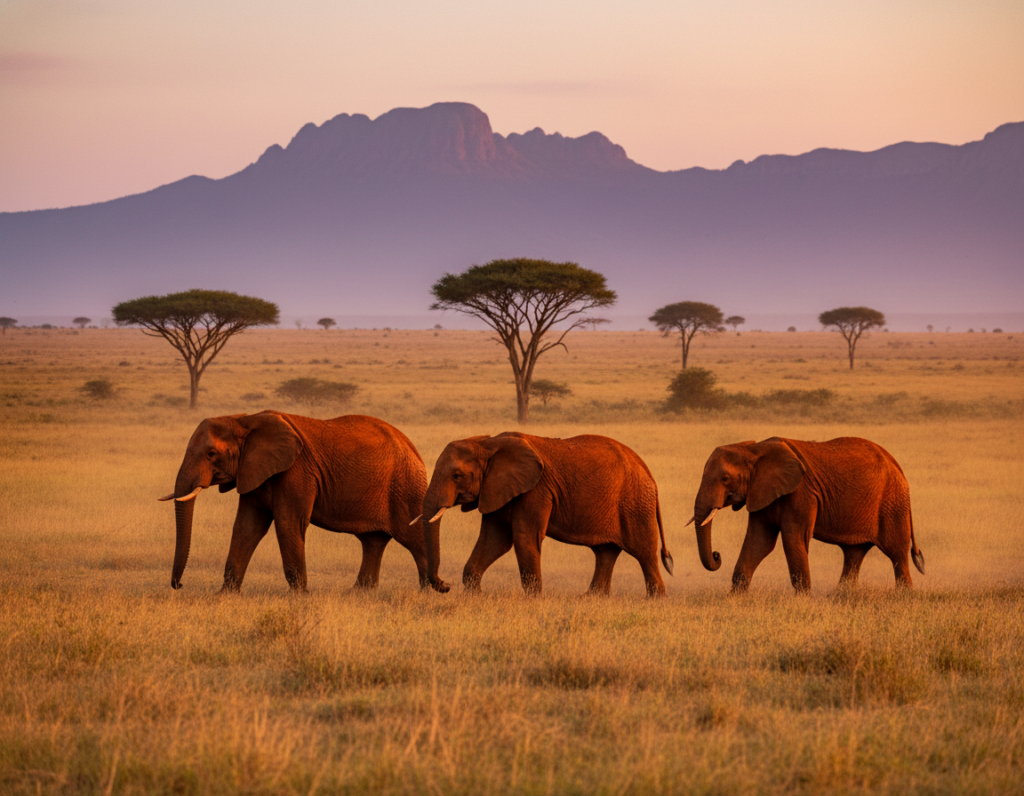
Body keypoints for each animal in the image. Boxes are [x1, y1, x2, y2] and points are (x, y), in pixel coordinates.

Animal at [159, 411, 443, 592]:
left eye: (211, 454)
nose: (179, 585)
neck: (243, 420)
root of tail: (412, 447)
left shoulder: (295, 471)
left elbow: (288, 523)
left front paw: (298, 596)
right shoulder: (254, 471)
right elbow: (247, 527)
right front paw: (225, 595)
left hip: (405, 488)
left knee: (414, 538)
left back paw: (431, 591)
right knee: (373, 541)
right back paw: (359, 594)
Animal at [418, 431, 674, 595]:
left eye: (456, 476)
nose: (444, 586)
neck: (488, 443)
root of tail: (647, 470)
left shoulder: (536, 489)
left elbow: (524, 538)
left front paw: (533, 600)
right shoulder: (496, 489)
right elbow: (495, 540)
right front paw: (476, 596)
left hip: (636, 503)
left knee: (644, 552)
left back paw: (655, 600)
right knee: (606, 552)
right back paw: (592, 598)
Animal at [690, 436, 925, 592]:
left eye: (725, 479)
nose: (717, 555)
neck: (753, 449)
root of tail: (896, 464)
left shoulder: (801, 494)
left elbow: (794, 539)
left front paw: (802, 600)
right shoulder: (761, 492)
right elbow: (759, 542)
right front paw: (735, 598)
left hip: (893, 502)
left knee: (897, 552)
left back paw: (904, 596)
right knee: (854, 553)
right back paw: (841, 596)